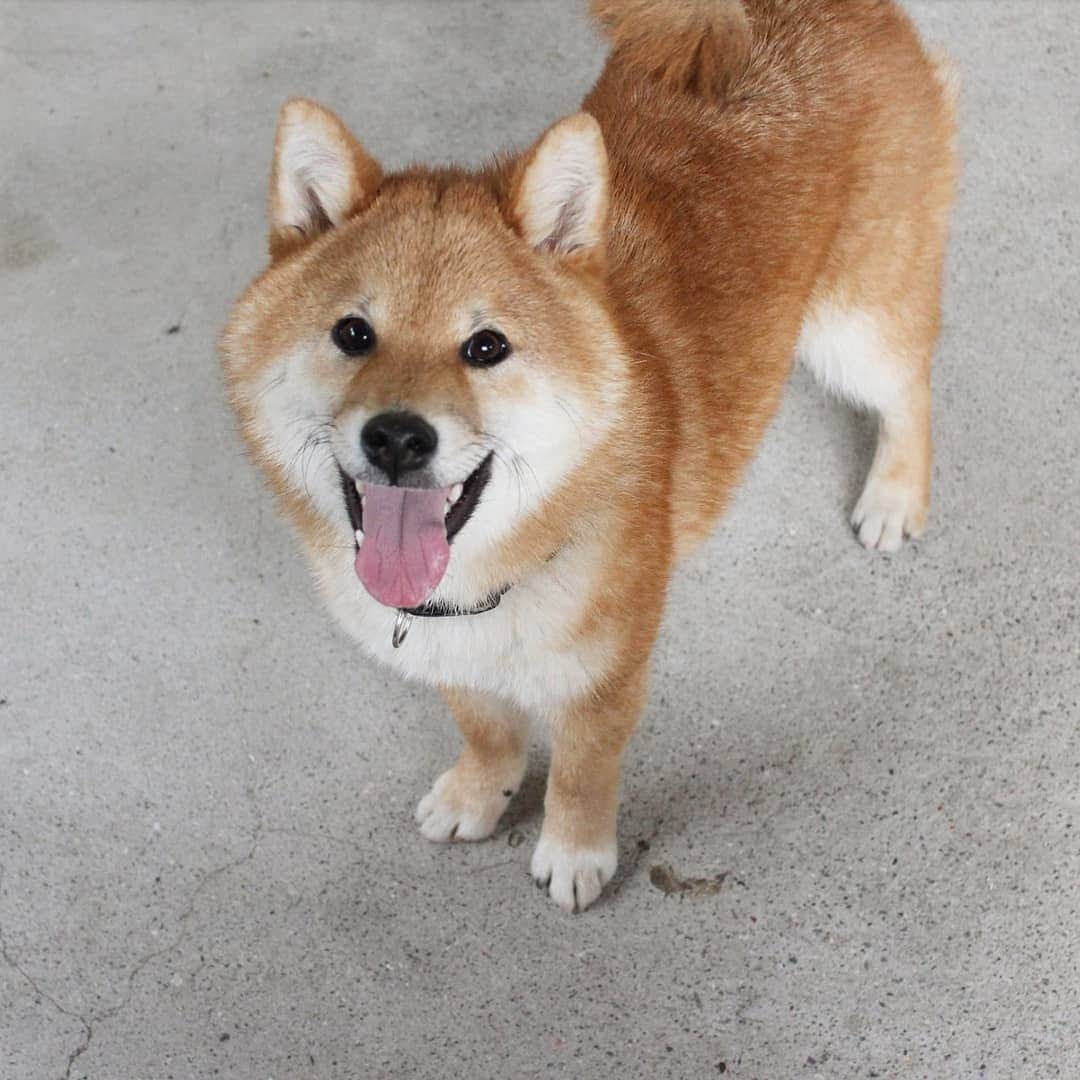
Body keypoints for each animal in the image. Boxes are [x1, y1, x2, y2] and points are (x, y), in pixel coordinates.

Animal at [221, 0, 954, 911]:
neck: (495, 577)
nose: (396, 435)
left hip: (857, 322)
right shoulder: (450, 652)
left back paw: (894, 494)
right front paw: (482, 792)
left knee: (910, 386)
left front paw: (575, 853)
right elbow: (487, 729)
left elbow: (579, 770)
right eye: (353, 334)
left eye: (487, 347)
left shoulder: (605, 677)